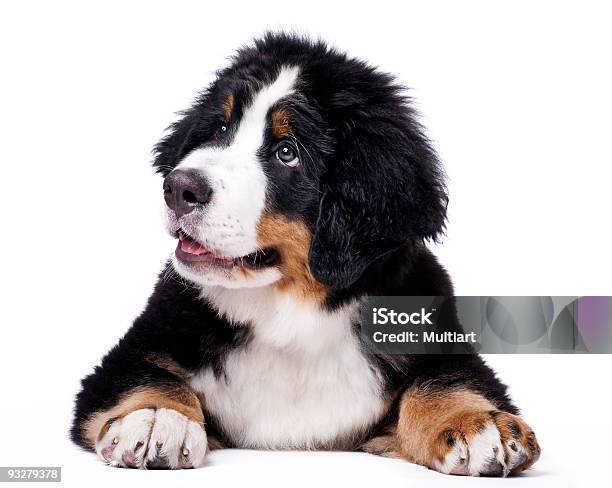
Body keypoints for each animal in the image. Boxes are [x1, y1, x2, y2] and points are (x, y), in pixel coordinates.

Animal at [70, 32, 540, 474]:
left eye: (287, 152)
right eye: (220, 130)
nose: (178, 188)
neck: (289, 315)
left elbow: (447, 379)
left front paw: (477, 423)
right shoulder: (141, 344)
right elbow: (147, 376)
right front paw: (155, 417)